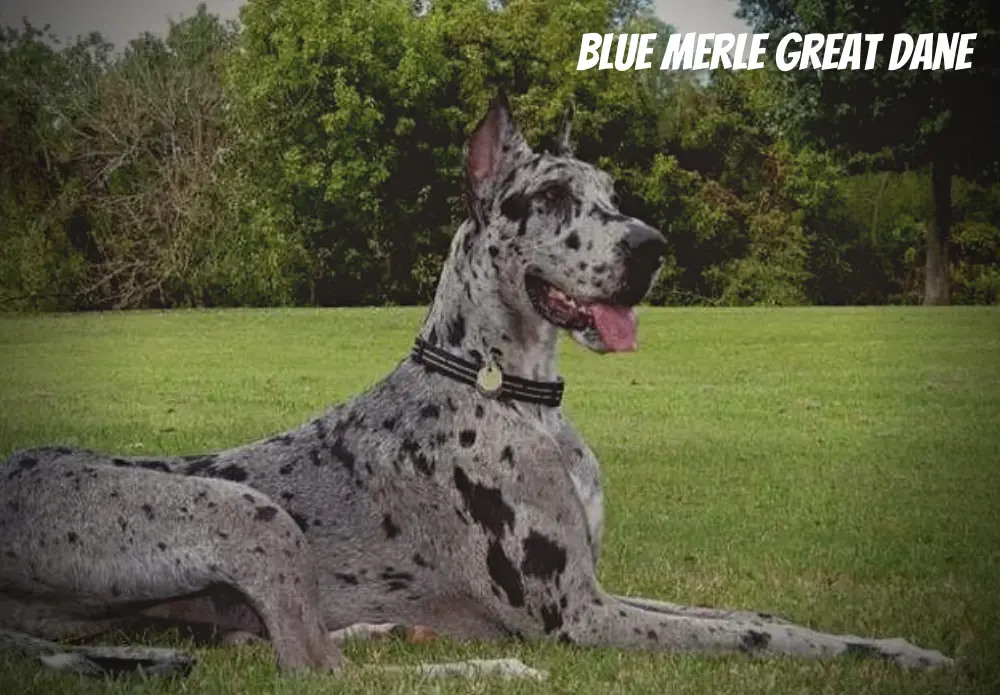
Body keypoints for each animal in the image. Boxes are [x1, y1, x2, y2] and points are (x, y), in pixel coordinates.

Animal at [0, 89, 952, 676]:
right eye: (555, 196)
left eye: (613, 191)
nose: (652, 246)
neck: (511, 393)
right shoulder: (580, 617)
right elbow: (752, 636)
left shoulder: (600, 587)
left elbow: (760, 616)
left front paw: (903, 647)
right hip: (252, 515)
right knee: (315, 669)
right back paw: (481, 664)